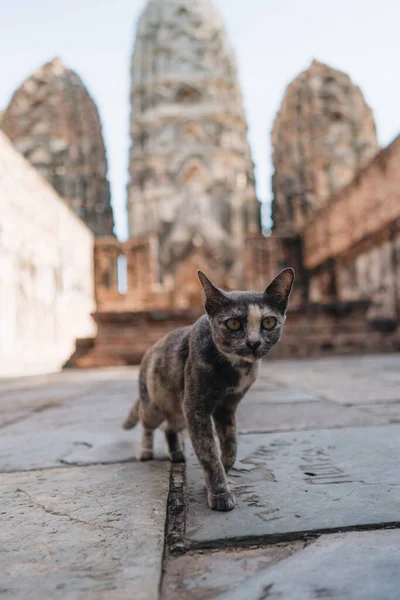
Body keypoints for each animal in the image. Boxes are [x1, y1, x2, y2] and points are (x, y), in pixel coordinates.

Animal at [123, 268, 296, 510]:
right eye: (233, 324)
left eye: (269, 322)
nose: (253, 343)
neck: (236, 368)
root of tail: (149, 350)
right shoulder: (195, 408)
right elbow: (207, 452)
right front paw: (219, 492)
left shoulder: (227, 407)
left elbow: (231, 444)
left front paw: (225, 467)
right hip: (155, 405)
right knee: (148, 424)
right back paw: (146, 452)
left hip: (179, 412)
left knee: (168, 427)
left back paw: (177, 453)